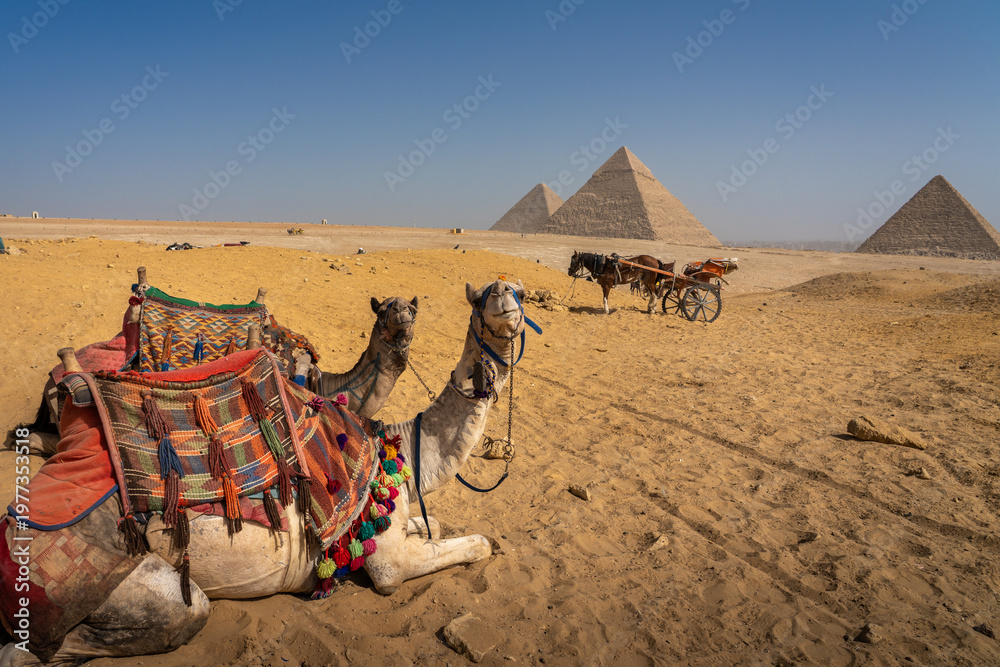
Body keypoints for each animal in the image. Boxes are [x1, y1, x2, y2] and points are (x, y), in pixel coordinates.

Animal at [0, 278, 532, 666]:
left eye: (518, 291)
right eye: (486, 295)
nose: (506, 295)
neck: (403, 451)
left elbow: (435, 523)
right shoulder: (388, 562)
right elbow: (474, 546)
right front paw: (483, 542)